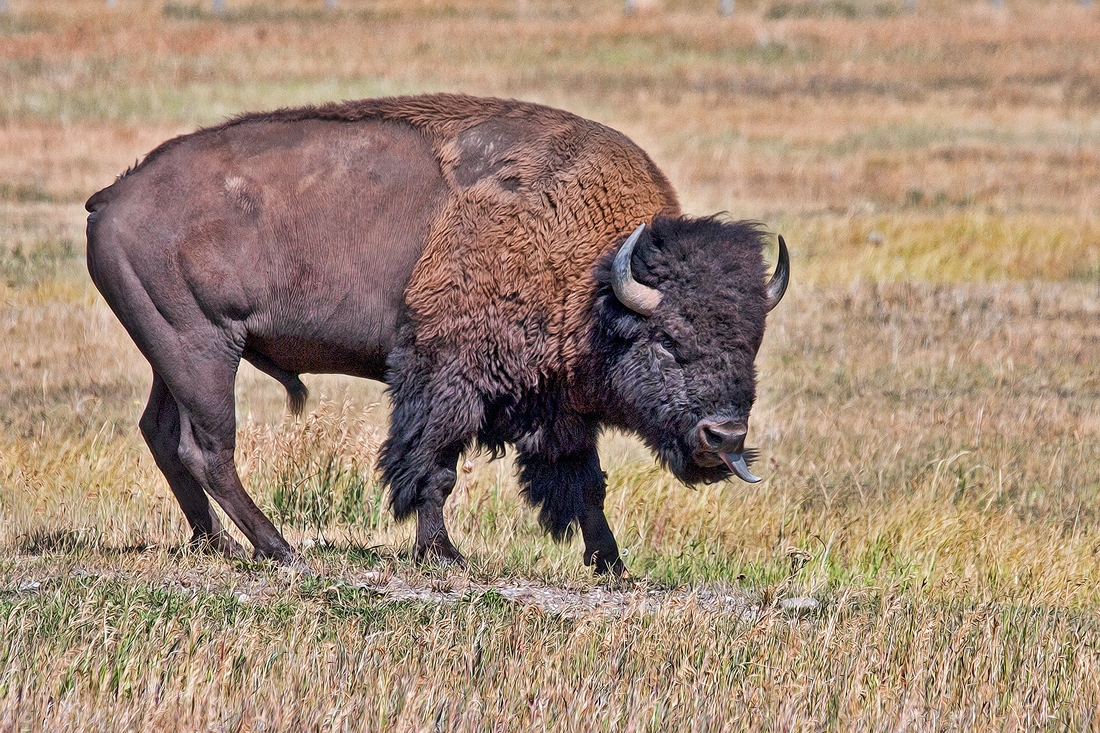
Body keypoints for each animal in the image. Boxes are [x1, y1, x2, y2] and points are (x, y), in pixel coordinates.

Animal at [85, 91, 792, 572]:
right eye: (668, 341)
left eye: (752, 346)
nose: (724, 438)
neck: (591, 273)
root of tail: (113, 198)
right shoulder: (448, 377)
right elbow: (435, 467)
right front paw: (443, 552)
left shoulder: (557, 402)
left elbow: (585, 481)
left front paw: (611, 564)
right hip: (203, 349)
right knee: (207, 448)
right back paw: (280, 549)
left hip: (173, 357)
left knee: (164, 435)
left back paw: (218, 546)